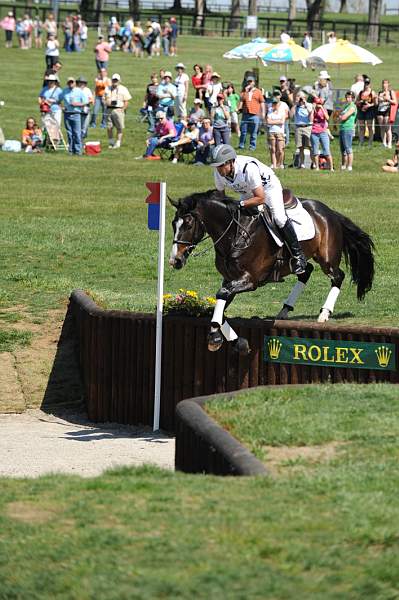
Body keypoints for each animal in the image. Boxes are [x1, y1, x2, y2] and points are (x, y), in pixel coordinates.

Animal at [169, 190, 376, 354]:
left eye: (188, 224)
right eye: (173, 224)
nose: (175, 261)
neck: (234, 234)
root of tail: (329, 211)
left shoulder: (249, 280)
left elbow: (221, 298)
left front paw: (215, 336)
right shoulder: (230, 280)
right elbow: (220, 305)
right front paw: (237, 342)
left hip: (326, 258)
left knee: (337, 276)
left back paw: (324, 314)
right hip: (295, 262)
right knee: (305, 271)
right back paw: (284, 310)